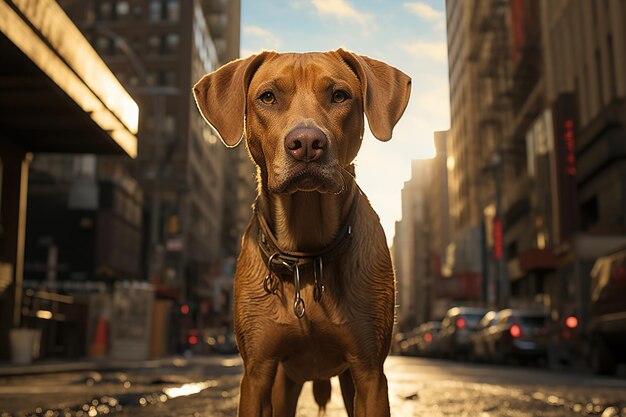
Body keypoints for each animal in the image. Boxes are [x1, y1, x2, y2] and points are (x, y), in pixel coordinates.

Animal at [194, 49, 410, 416]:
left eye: (339, 95)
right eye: (268, 97)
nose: (307, 143)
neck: (306, 255)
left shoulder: (369, 373)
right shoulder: (257, 374)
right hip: (284, 384)